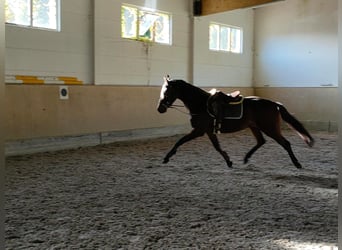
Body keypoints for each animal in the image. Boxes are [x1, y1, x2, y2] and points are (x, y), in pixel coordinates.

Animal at [156, 77, 314, 169]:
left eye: (166, 91)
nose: (160, 109)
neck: (200, 104)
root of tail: (274, 104)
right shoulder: (208, 131)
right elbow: (217, 147)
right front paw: (229, 161)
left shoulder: (199, 131)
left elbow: (180, 141)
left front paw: (166, 157)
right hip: (254, 126)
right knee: (261, 141)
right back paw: (246, 158)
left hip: (270, 128)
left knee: (285, 143)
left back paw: (297, 164)